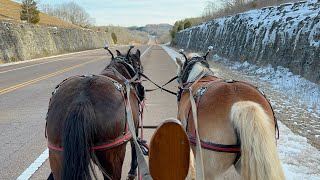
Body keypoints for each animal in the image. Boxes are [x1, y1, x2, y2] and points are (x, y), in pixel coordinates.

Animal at [45, 45, 145, 179]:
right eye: (139, 66)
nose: (141, 90)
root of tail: (81, 99)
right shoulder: (135, 125)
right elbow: (135, 146)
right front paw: (133, 171)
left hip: (57, 154)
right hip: (111, 156)